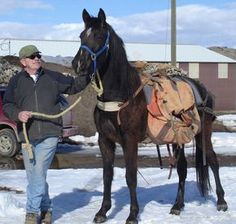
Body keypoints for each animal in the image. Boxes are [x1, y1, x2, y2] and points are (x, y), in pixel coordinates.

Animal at [72, 7, 229, 223]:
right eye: (81, 35)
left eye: (98, 35)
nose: (78, 65)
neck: (122, 94)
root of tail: (201, 88)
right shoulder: (105, 140)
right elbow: (107, 176)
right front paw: (103, 211)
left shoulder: (130, 140)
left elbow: (131, 177)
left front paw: (132, 214)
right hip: (177, 138)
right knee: (181, 169)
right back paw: (177, 205)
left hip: (203, 133)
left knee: (213, 160)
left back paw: (221, 201)